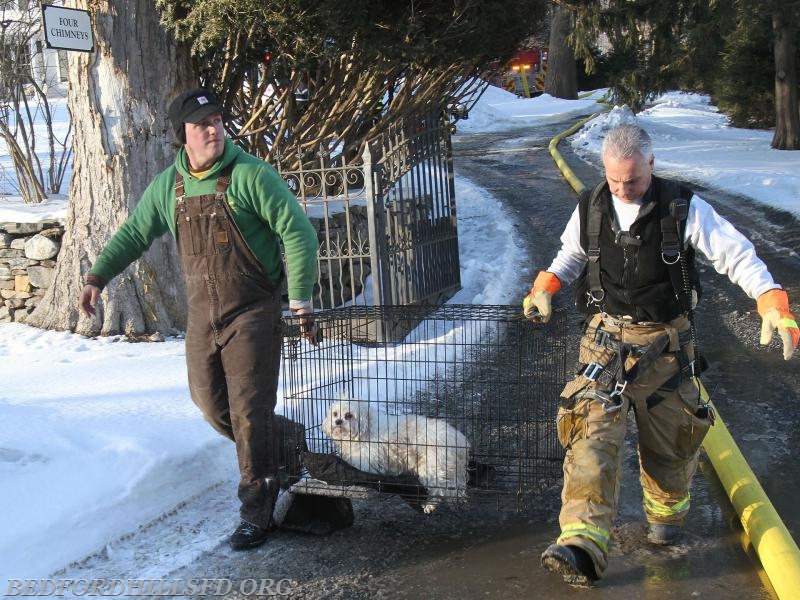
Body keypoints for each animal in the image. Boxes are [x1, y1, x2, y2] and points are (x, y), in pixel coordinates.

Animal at [320, 396, 468, 512]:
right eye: (335, 414)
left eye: (349, 415)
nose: (338, 421)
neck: (365, 429)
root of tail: (458, 439)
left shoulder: (367, 460)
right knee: (456, 488)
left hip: (432, 467)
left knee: (440, 489)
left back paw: (430, 505)